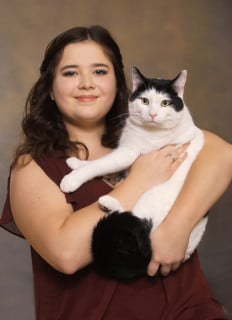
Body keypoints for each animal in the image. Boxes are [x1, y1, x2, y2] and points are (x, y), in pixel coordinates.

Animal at [60, 67, 208, 280]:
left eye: (165, 103)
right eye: (145, 101)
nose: (152, 114)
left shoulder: (128, 153)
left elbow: (100, 164)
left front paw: (72, 178)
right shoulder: (123, 149)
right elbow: (101, 163)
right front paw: (76, 162)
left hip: (151, 198)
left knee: (141, 220)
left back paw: (109, 203)